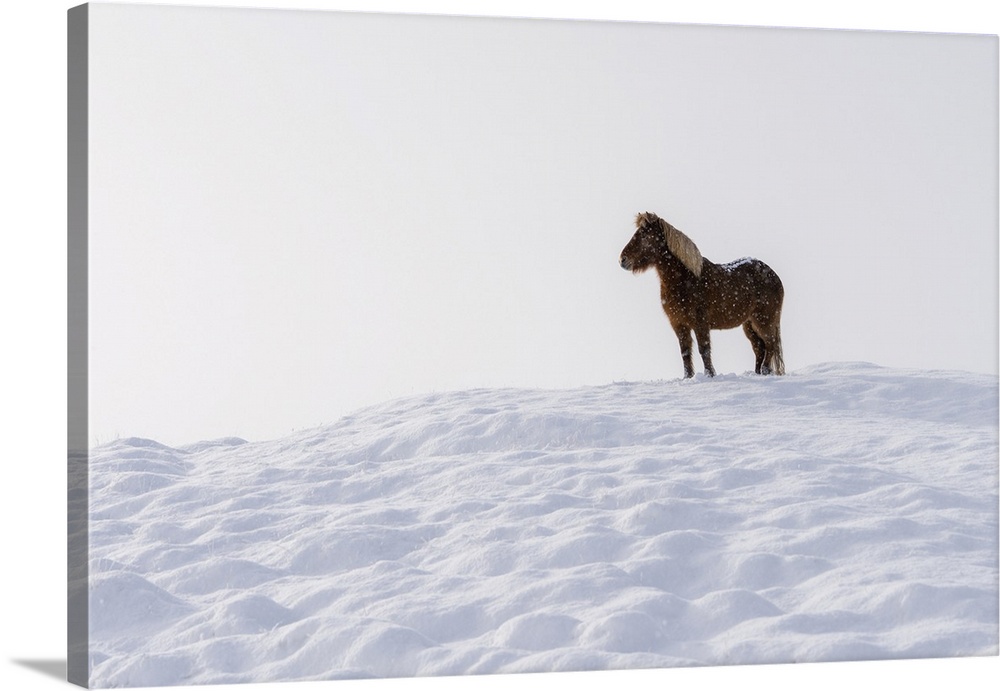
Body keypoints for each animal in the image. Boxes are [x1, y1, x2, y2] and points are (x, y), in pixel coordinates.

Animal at [619, 212, 785, 378]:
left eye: (644, 235)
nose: (622, 260)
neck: (685, 280)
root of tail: (774, 276)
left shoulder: (700, 323)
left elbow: (704, 349)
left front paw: (709, 375)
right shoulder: (679, 324)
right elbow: (685, 352)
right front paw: (688, 377)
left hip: (764, 321)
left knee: (770, 344)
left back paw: (765, 371)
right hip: (749, 324)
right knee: (759, 348)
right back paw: (758, 373)